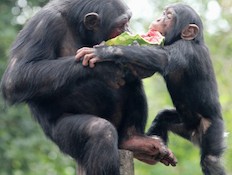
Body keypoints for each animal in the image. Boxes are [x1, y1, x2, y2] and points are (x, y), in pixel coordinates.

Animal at [0, 0, 177, 174]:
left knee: (133, 84)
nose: (130, 30)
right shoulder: (43, 25)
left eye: (128, 22)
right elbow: (17, 76)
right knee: (101, 133)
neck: (77, 27)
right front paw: (106, 68)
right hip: (61, 136)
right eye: (122, 24)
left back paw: (135, 140)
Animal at [77, 3, 226, 175]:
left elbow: (162, 58)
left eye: (169, 16)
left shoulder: (185, 50)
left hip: (213, 128)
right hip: (183, 126)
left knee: (211, 160)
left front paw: (103, 51)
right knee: (163, 118)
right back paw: (150, 151)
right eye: (164, 13)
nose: (159, 19)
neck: (190, 40)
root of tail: (195, 134)